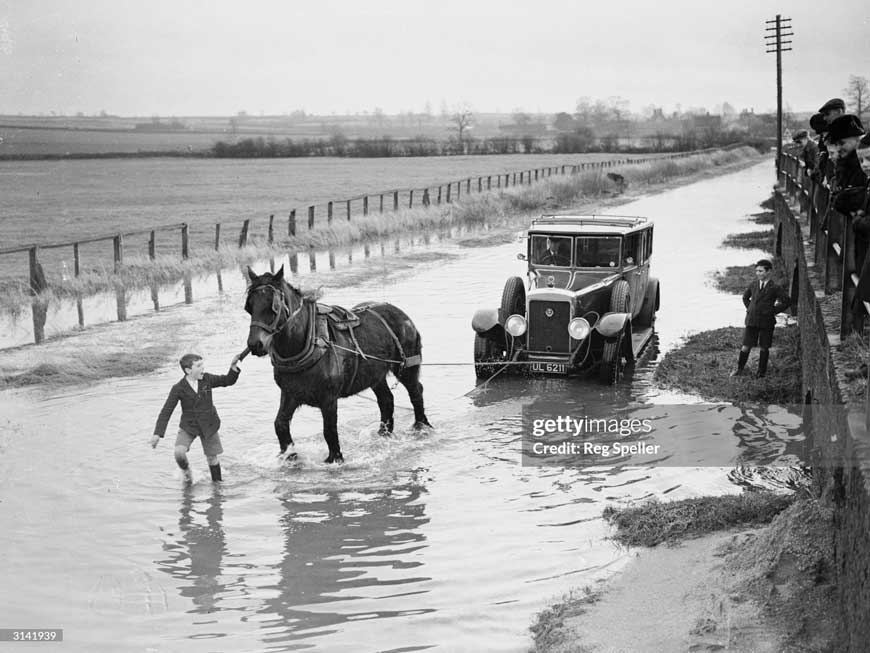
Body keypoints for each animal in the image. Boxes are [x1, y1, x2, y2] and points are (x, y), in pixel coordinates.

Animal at [242, 266, 432, 464]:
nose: (255, 344)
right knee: (386, 400)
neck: (306, 343)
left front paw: (334, 459)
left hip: (406, 366)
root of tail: (401, 314)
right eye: (249, 307)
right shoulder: (290, 393)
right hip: (375, 375)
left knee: (416, 391)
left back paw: (421, 427)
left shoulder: (329, 398)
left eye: (273, 307)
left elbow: (329, 431)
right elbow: (280, 424)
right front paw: (290, 456)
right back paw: (383, 434)